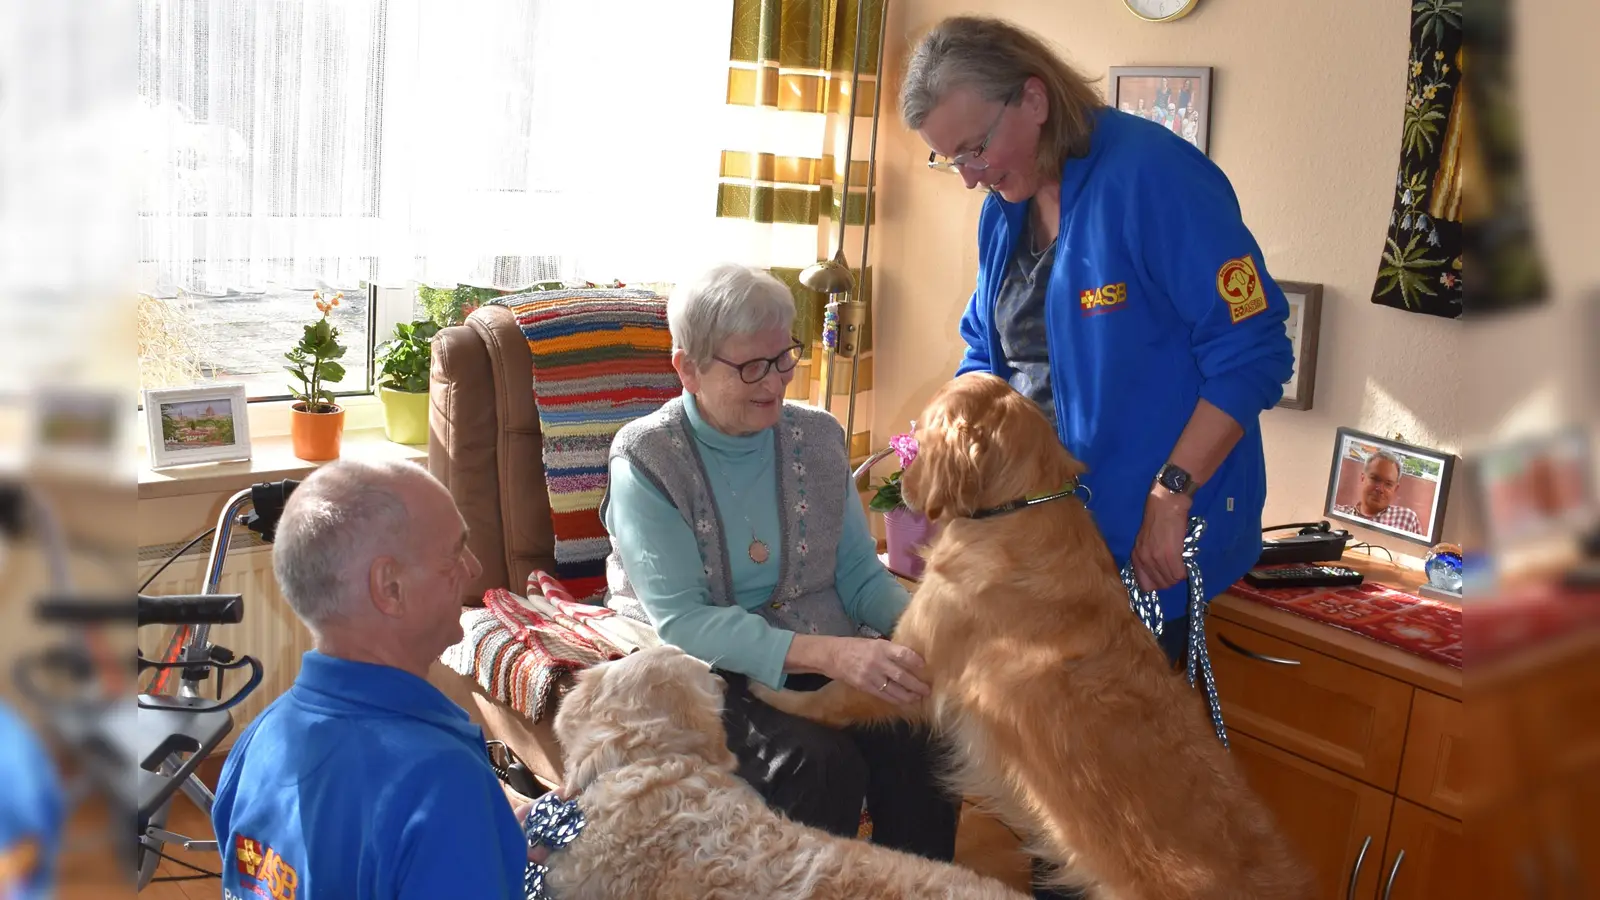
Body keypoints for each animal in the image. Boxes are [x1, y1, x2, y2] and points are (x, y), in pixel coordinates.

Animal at [755, 373, 1305, 896]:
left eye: (925, 431)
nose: (903, 481)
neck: (1017, 507)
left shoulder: (911, 659)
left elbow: (830, 696)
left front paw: (767, 692)